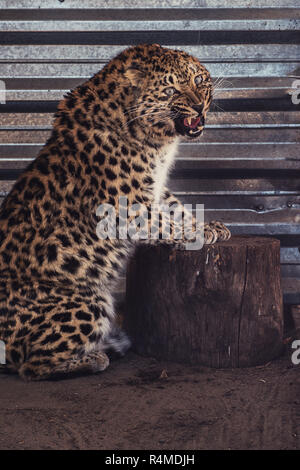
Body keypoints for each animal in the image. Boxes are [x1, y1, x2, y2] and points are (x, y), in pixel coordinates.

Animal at [0, 44, 231, 380]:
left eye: (199, 80)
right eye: (171, 90)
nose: (199, 107)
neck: (156, 140)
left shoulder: (155, 190)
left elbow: (174, 207)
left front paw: (211, 225)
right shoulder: (126, 208)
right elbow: (164, 222)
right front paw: (199, 232)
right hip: (88, 299)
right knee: (31, 366)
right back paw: (96, 357)